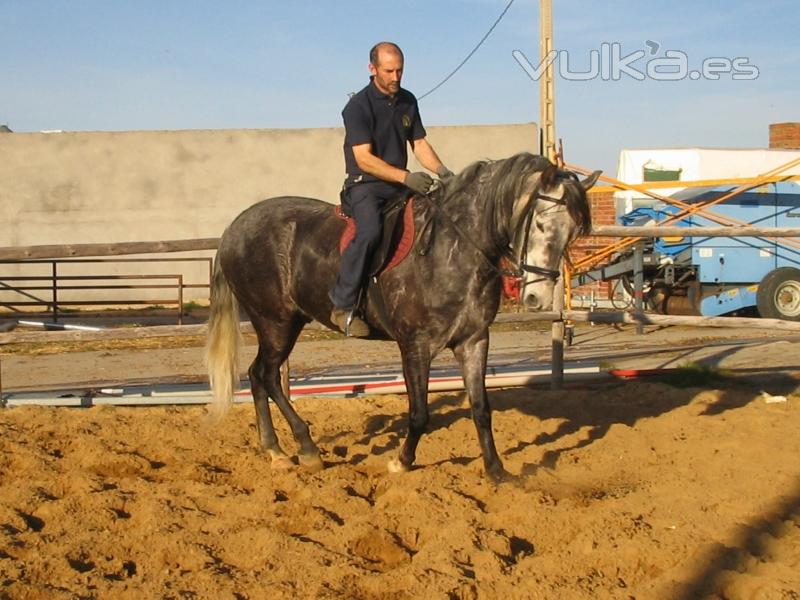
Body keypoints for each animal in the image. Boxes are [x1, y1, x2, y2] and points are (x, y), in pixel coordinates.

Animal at [206, 152, 600, 480]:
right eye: (540, 225)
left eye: (572, 234)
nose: (537, 297)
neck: (453, 248)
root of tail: (233, 229)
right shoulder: (415, 344)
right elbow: (419, 413)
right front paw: (401, 462)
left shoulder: (473, 340)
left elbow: (481, 409)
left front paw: (496, 471)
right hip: (276, 322)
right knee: (265, 374)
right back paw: (302, 449)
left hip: (285, 322)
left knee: (260, 376)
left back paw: (278, 450)